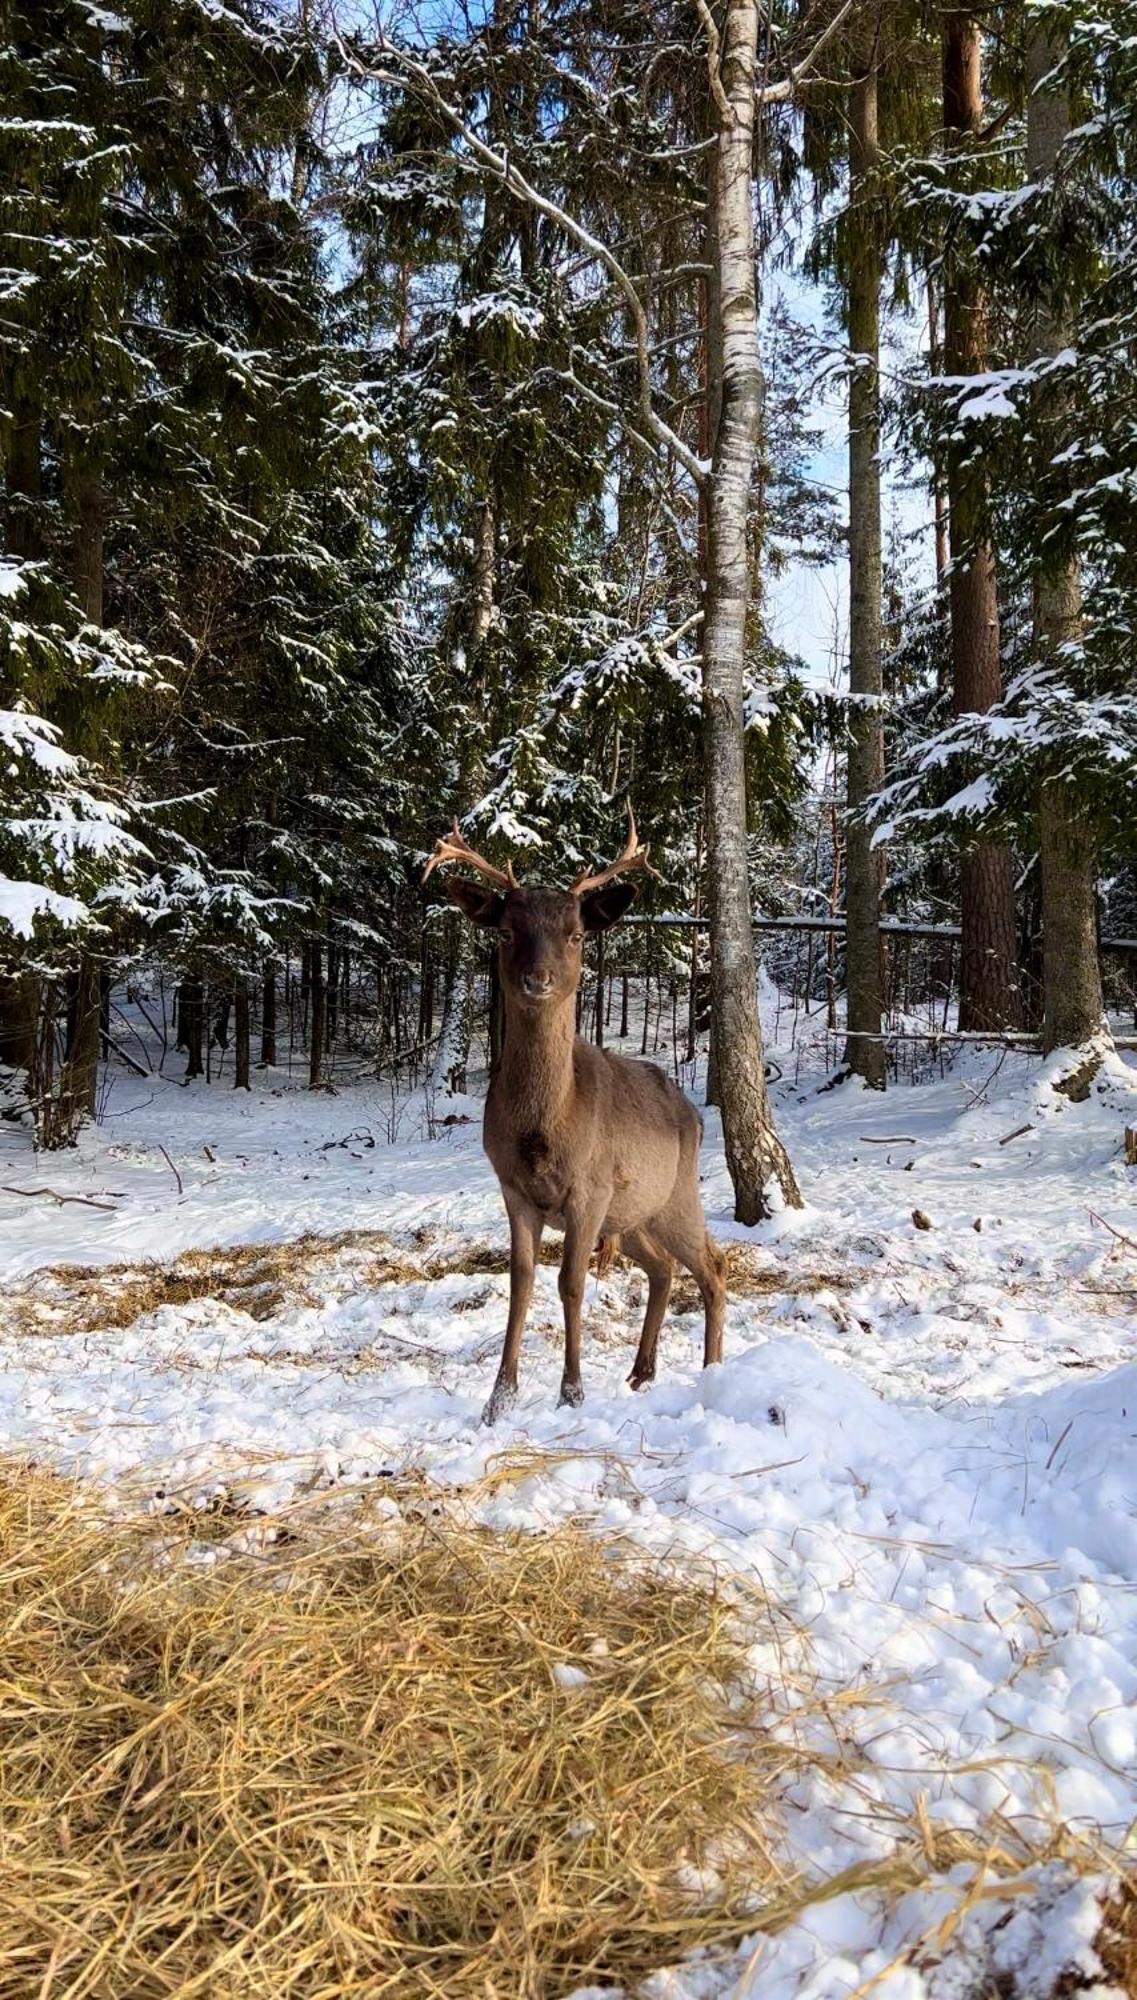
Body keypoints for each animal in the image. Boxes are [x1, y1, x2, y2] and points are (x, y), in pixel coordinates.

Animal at [422, 804, 724, 1432]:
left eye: (577, 934)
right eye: (506, 932)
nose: (538, 980)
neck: (548, 1128)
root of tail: (692, 1113)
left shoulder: (590, 1189)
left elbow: (571, 1283)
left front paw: (572, 1392)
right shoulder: (513, 1188)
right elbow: (521, 1280)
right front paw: (499, 1398)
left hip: (676, 1194)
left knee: (714, 1263)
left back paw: (711, 1369)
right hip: (634, 1215)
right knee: (663, 1268)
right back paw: (641, 1372)